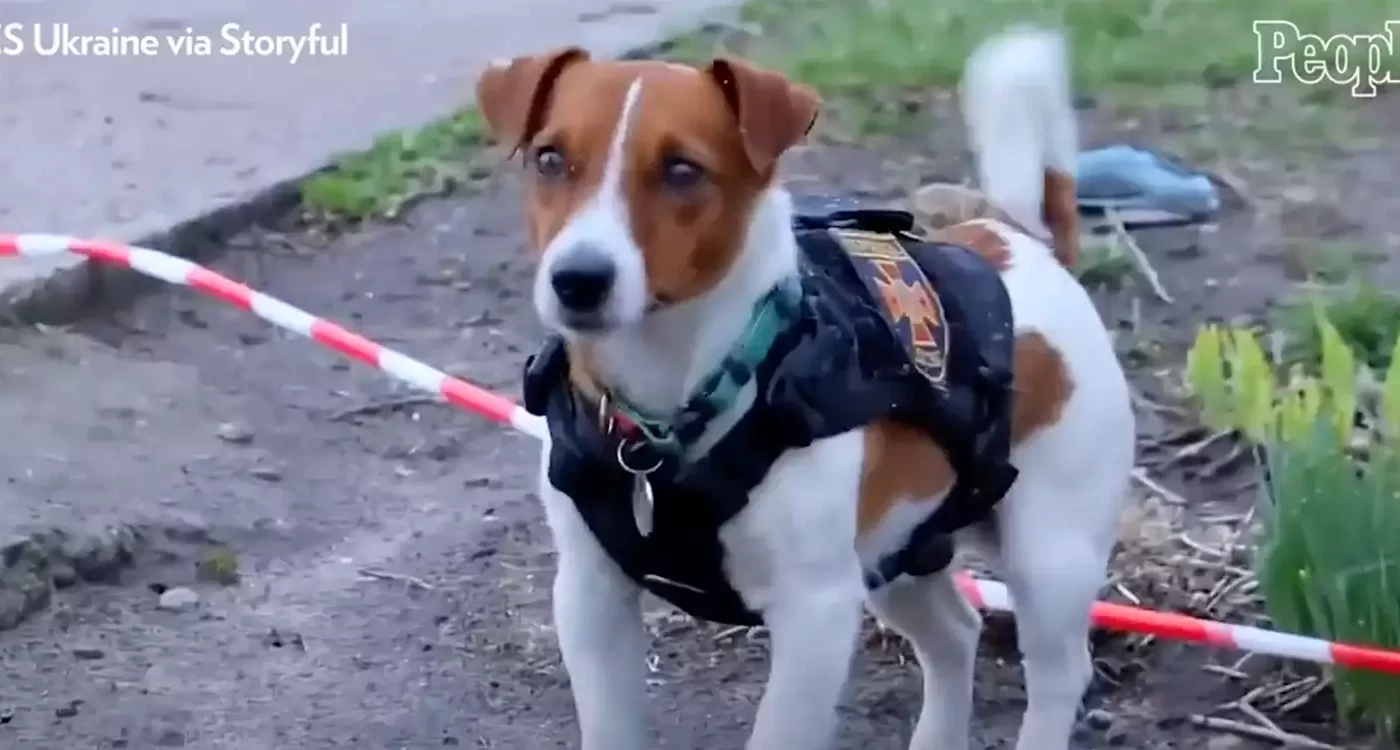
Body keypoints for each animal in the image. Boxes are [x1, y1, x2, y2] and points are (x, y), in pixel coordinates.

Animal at [476, 26, 1131, 750]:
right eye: (550, 159)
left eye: (682, 171)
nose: (578, 280)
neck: (670, 406)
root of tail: (1018, 240)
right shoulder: (591, 598)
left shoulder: (814, 615)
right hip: (897, 549)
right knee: (956, 635)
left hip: (1050, 556)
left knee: (1056, 675)